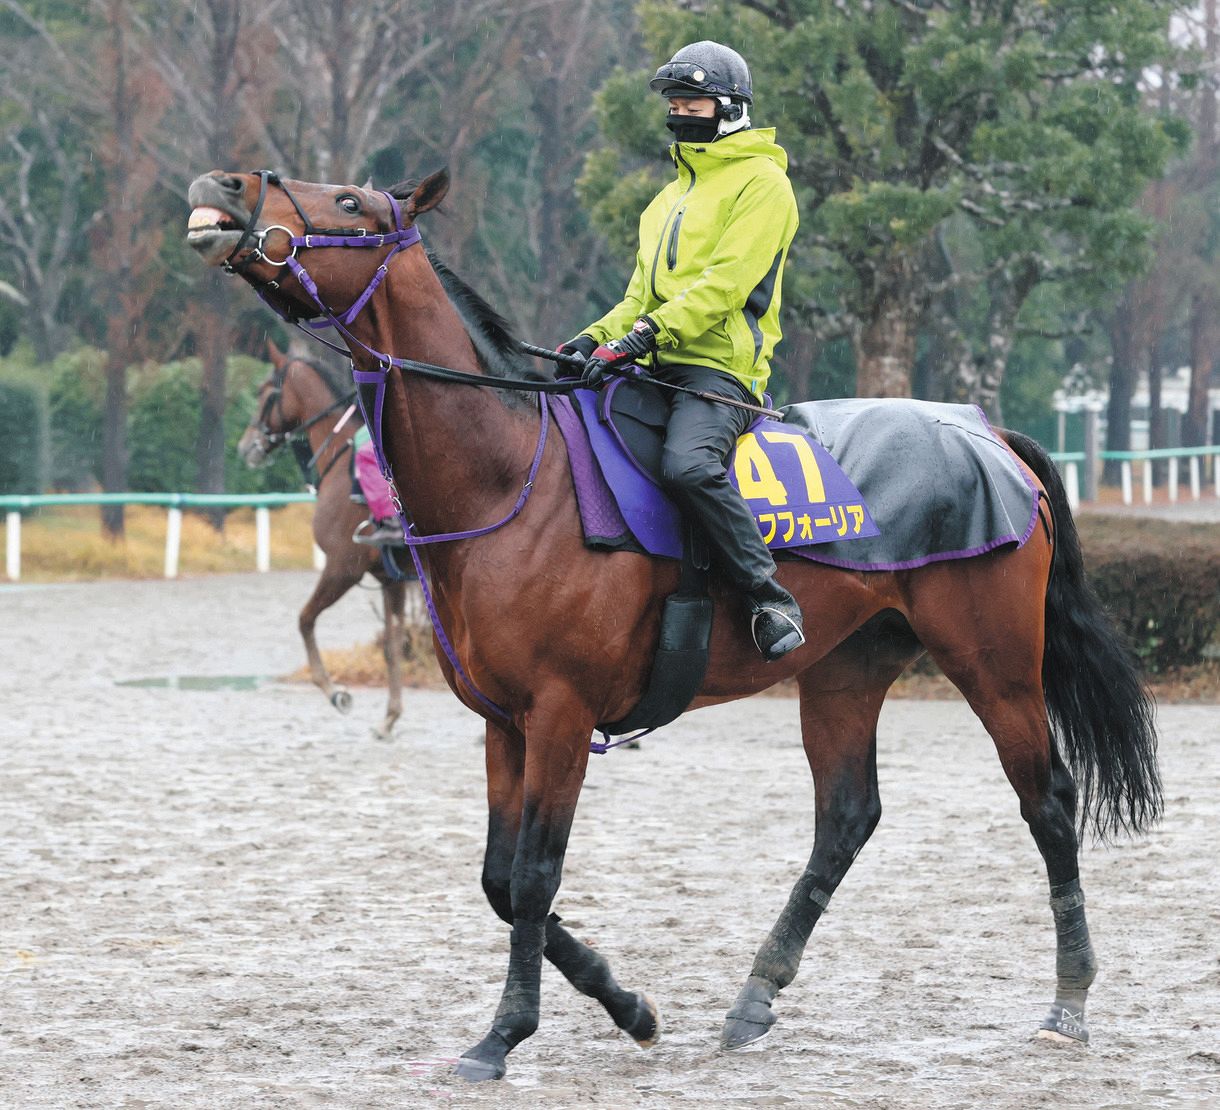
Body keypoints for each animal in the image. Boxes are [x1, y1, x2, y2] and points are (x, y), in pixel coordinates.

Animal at [235, 339, 412, 736]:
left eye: (265, 392)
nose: (245, 446)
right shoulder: (390, 579)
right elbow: (392, 644)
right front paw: (390, 716)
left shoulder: (342, 568)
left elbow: (304, 620)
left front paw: (335, 692)